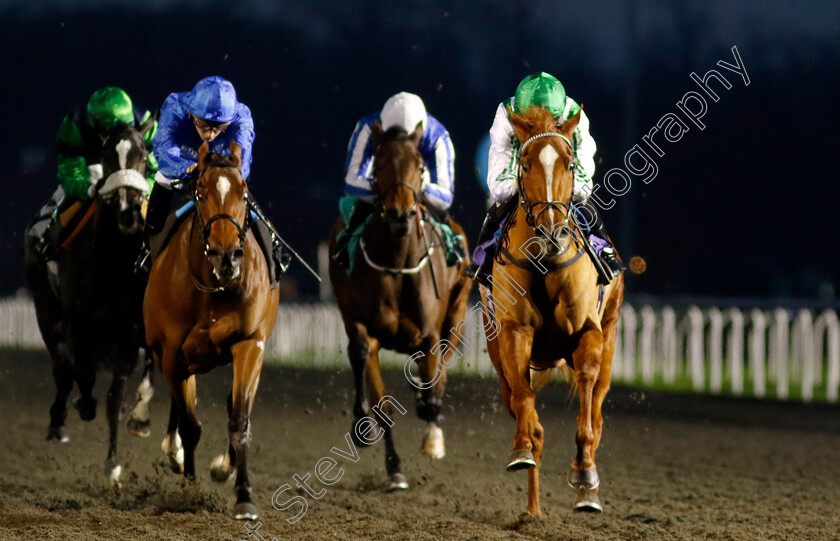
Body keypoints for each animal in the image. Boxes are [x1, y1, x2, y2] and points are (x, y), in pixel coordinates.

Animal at [23, 118, 157, 486]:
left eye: (144, 155)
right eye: (108, 155)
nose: (127, 212)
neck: (112, 262)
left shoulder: (127, 334)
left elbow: (114, 397)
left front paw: (112, 463)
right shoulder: (77, 323)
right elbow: (81, 373)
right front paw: (82, 406)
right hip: (45, 308)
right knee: (62, 368)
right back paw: (57, 422)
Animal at [143, 139, 278, 520]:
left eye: (244, 193)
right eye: (200, 193)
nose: (226, 256)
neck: (213, 288)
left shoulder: (249, 344)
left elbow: (240, 421)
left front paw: (244, 495)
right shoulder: (172, 354)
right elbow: (190, 427)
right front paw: (190, 490)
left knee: (234, 406)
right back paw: (173, 449)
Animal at [328, 121, 472, 490]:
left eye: (420, 166)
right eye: (378, 166)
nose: (400, 214)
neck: (395, 263)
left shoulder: (430, 333)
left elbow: (433, 388)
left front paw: (429, 413)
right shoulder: (363, 325)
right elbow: (366, 364)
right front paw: (370, 434)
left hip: (457, 311)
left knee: (443, 365)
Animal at [482, 105, 628, 516]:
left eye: (569, 162)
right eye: (525, 162)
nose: (552, 233)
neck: (545, 262)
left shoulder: (588, 331)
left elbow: (587, 410)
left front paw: (584, 472)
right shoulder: (514, 332)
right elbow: (525, 404)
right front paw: (522, 449)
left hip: (611, 331)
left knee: (597, 410)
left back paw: (587, 493)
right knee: (521, 406)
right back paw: (533, 509)